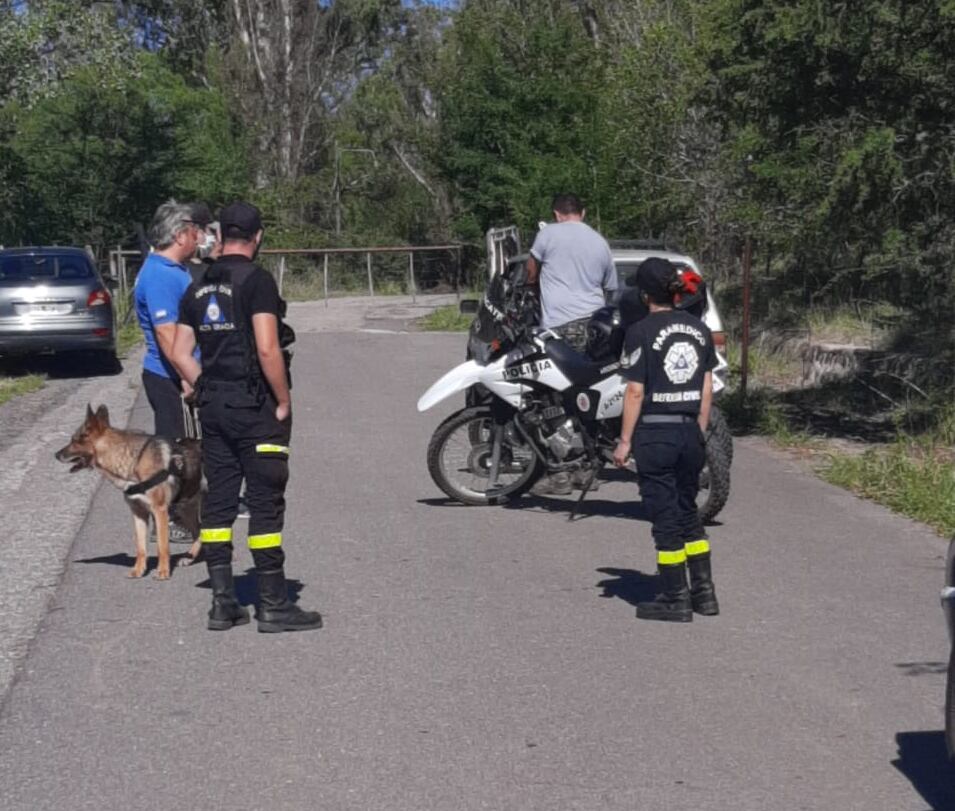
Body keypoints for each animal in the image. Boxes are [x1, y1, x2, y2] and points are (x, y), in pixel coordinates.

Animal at [55, 404, 204, 576]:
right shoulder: (138, 512)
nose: (56, 454)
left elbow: (162, 546)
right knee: (199, 531)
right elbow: (140, 547)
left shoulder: (159, 510)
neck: (133, 461)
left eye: (75, 440)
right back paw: (189, 557)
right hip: (184, 507)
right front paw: (138, 570)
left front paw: (163, 572)